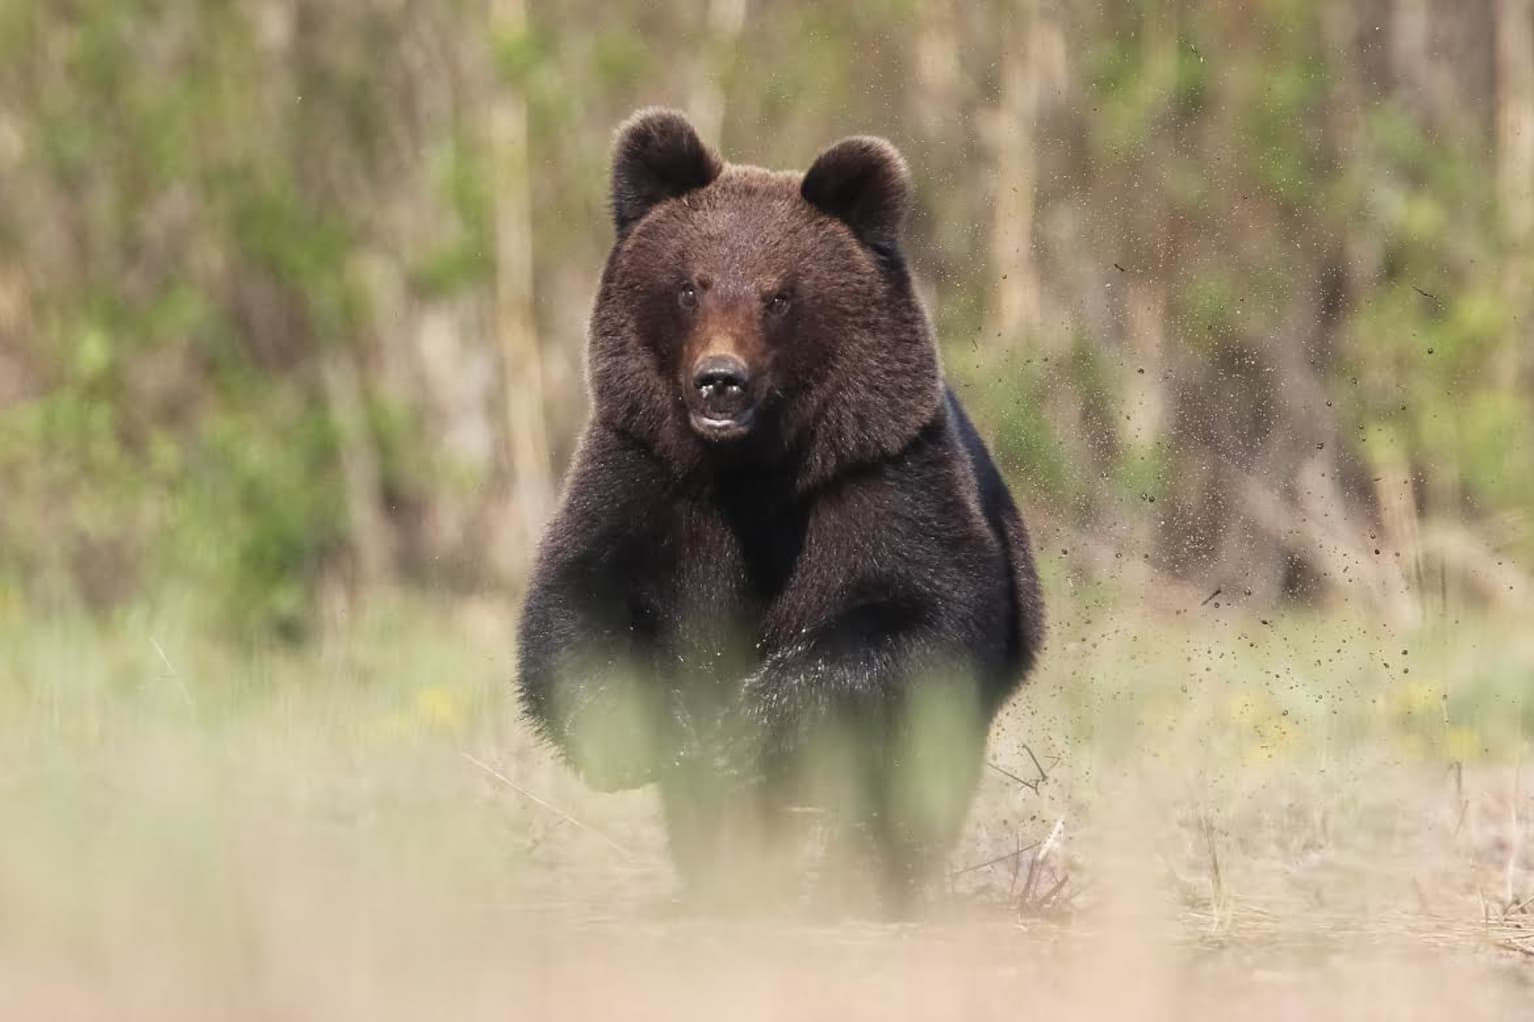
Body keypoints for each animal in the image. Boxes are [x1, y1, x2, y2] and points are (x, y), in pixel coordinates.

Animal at [515, 107, 1043, 902]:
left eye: (779, 296)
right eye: (690, 287)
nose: (719, 380)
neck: (753, 475)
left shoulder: (881, 477)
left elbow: (921, 618)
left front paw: (754, 720)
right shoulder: (647, 473)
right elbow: (582, 600)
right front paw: (667, 727)